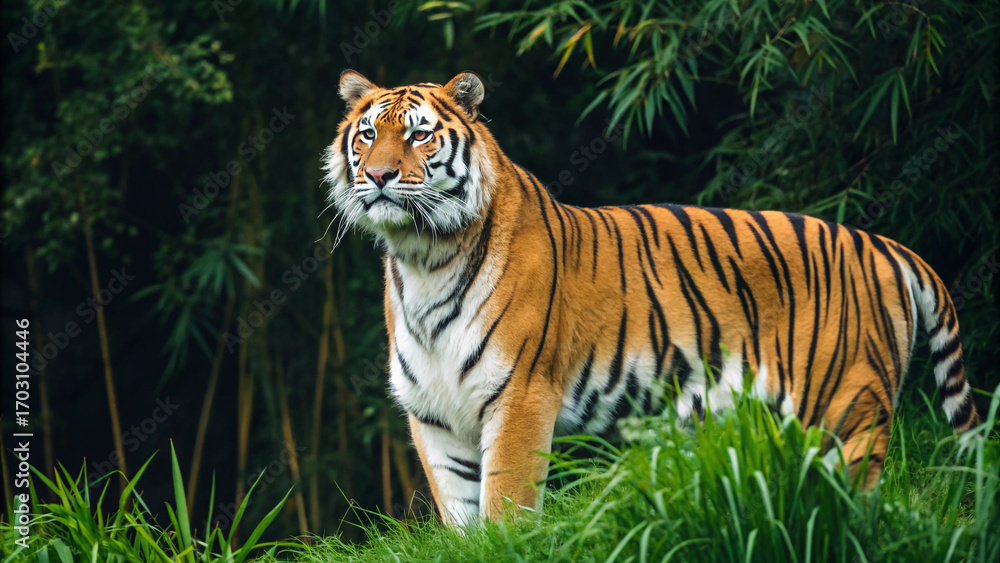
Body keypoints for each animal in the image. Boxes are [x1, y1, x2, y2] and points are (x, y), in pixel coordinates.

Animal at [322, 70, 980, 526]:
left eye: (419, 136)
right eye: (368, 134)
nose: (378, 175)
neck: (423, 259)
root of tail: (881, 244)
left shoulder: (520, 396)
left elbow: (506, 505)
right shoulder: (433, 415)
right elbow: (463, 520)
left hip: (848, 410)